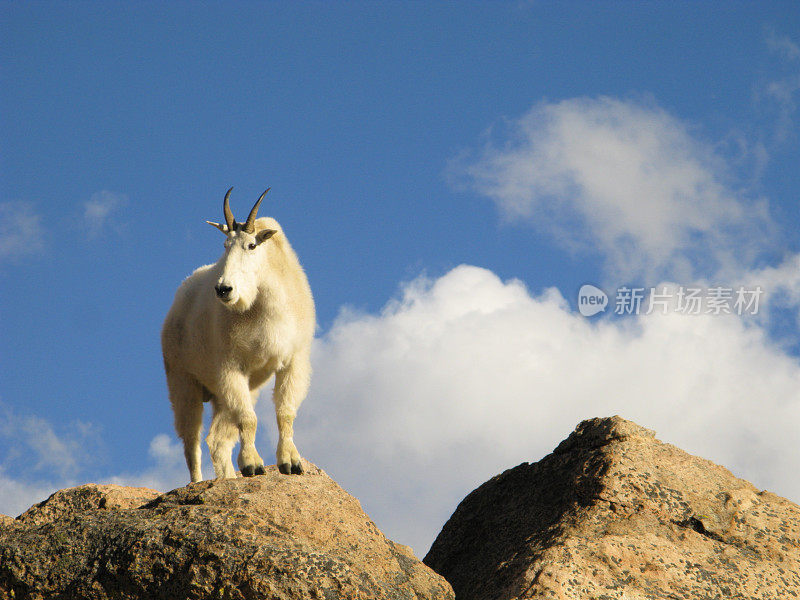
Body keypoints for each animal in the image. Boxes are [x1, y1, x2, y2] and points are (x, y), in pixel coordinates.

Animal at [161, 188, 314, 482]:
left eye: (252, 246)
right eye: (225, 245)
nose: (223, 289)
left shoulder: (293, 361)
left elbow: (285, 413)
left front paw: (291, 462)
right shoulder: (231, 367)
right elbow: (249, 419)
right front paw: (252, 465)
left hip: (228, 392)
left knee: (217, 440)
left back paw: (227, 478)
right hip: (183, 382)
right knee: (191, 443)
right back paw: (198, 483)